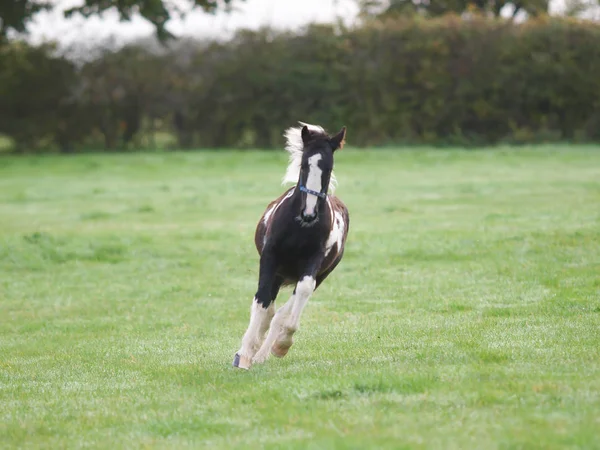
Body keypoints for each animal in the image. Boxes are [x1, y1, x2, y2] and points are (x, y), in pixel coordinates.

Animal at [232, 123, 350, 370]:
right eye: (304, 165)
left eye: (329, 168)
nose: (309, 213)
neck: (300, 227)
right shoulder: (270, 257)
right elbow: (261, 301)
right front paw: (244, 354)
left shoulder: (313, 262)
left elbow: (300, 295)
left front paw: (281, 345)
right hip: (278, 272)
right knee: (267, 305)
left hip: (318, 274)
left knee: (281, 311)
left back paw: (263, 352)